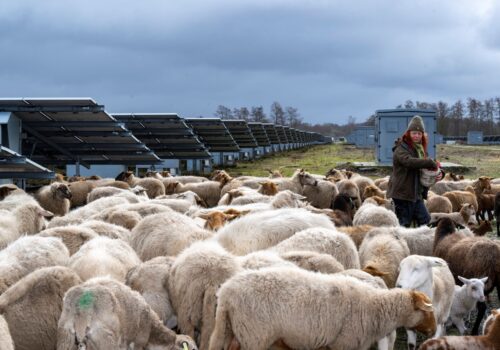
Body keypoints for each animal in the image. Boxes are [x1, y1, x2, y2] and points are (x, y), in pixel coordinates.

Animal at [207, 266, 438, 348]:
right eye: (427, 311)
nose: (434, 330)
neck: (374, 306)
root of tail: (226, 292)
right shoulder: (343, 343)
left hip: (234, 331)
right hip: (255, 336)